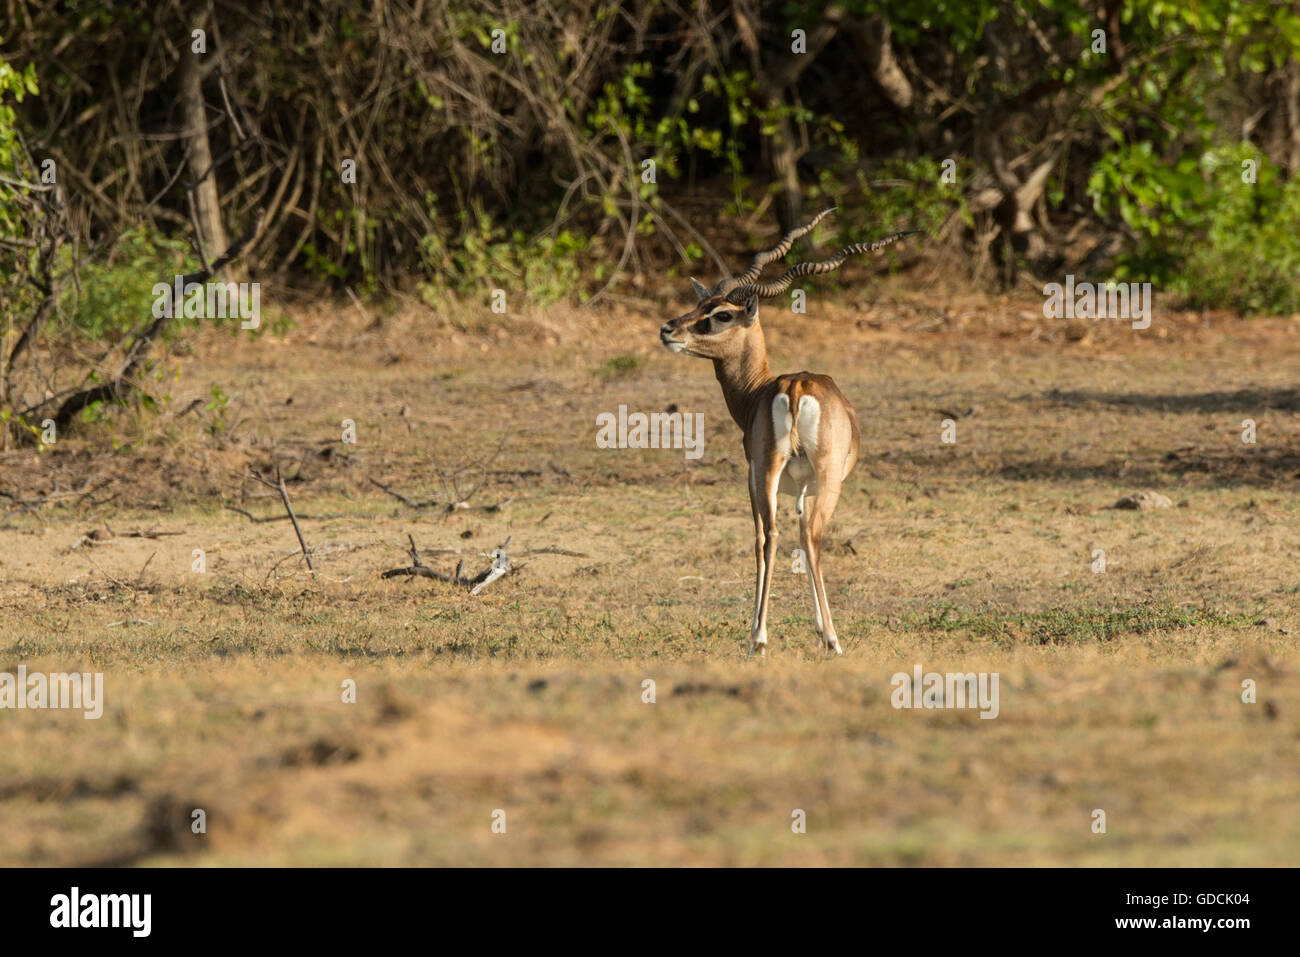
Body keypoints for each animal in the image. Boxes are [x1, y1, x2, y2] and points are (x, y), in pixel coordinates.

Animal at [655, 209, 920, 655]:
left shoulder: (767, 481)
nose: (668, 329)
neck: (758, 389)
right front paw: (811, 628)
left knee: (779, 535)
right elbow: (790, 535)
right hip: (801, 475)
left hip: (774, 472)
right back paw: (812, 638)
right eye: (699, 304)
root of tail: (795, 387)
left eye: (720, 313)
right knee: (799, 536)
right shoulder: (791, 486)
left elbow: (775, 535)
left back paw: (773, 638)